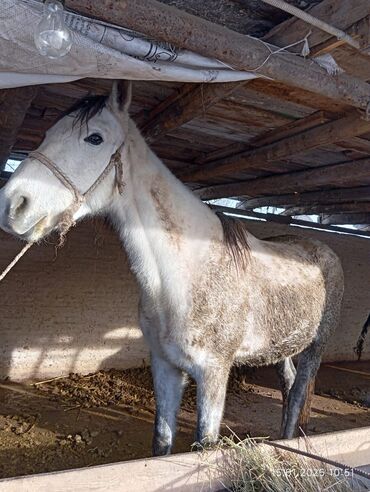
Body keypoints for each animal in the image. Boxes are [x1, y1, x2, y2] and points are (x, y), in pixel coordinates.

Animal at [0, 80, 344, 454]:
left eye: (95, 138)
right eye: (47, 133)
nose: (13, 204)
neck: (184, 274)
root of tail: (323, 250)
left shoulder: (213, 372)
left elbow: (204, 445)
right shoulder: (164, 366)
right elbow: (161, 442)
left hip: (315, 348)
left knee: (297, 395)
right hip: (282, 348)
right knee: (288, 385)